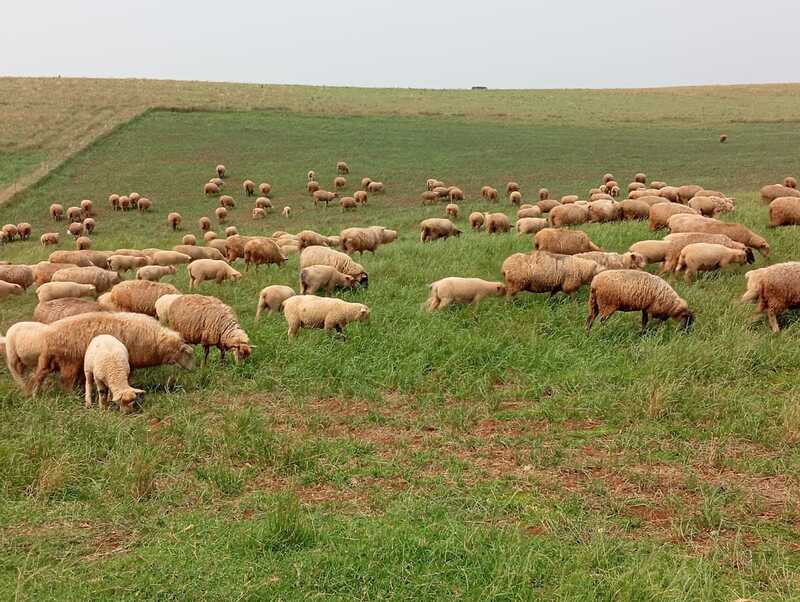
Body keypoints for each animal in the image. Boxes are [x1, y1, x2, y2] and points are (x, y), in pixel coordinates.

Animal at [28, 310, 196, 394]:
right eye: (188, 354)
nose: (193, 369)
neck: (155, 340)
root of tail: (48, 336)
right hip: (69, 362)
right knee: (65, 381)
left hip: (47, 361)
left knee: (38, 376)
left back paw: (35, 396)